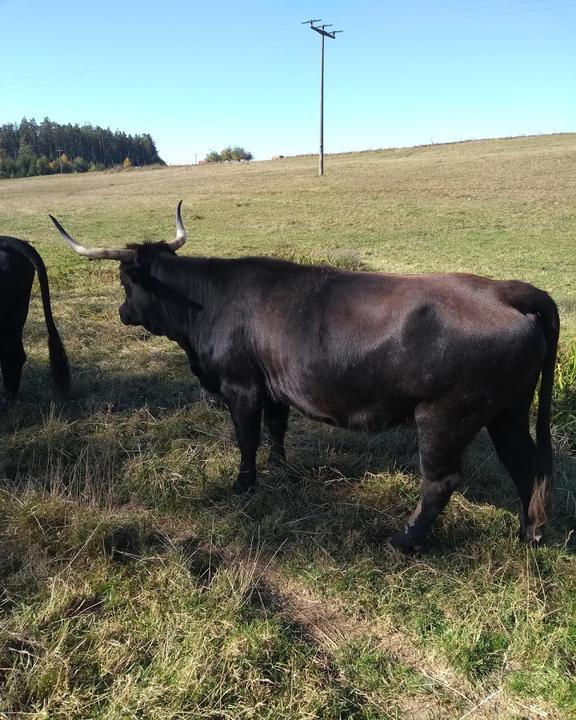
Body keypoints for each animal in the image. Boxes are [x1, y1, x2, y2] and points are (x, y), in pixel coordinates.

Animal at [49, 204, 560, 552]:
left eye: (124, 281)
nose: (122, 313)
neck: (207, 303)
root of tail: (508, 292)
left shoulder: (240, 386)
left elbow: (247, 438)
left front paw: (245, 485)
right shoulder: (273, 387)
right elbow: (276, 429)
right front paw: (279, 468)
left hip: (445, 417)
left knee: (441, 481)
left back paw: (405, 541)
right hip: (507, 411)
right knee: (525, 464)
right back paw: (529, 534)